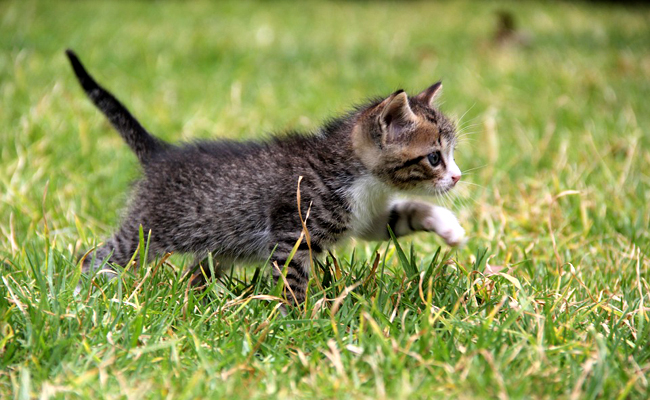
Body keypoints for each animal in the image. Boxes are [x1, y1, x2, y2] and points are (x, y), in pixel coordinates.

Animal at [66, 49, 464, 304]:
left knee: (195, 273)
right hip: (148, 231)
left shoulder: (365, 218)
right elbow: (292, 282)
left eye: (451, 154)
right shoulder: (293, 235)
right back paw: (86, 291)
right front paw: (298, 322)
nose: (458, 177)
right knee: (98, 256)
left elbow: (404, 214)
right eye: (434, 158)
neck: (358, 177)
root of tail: (161, 153)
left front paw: (449, 227)